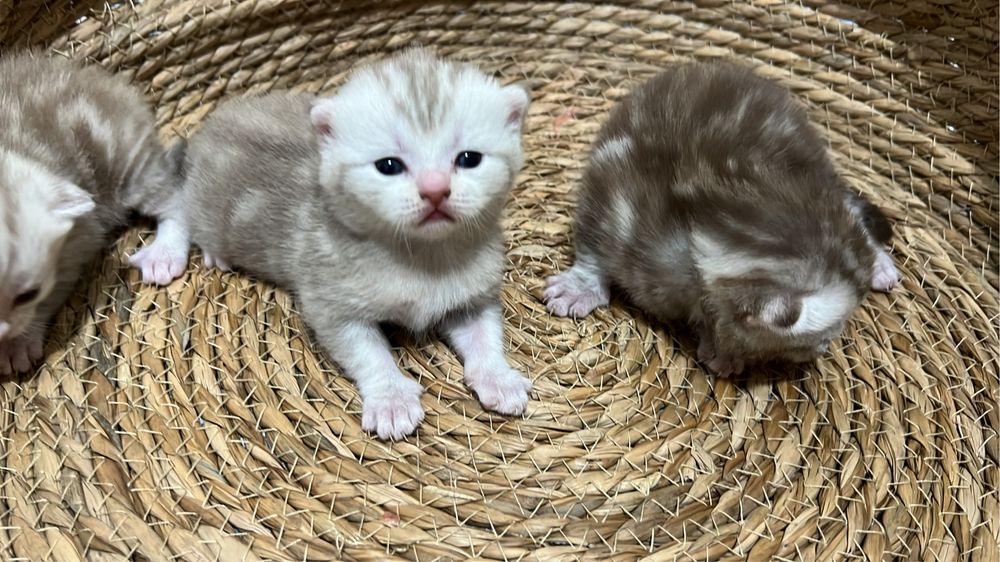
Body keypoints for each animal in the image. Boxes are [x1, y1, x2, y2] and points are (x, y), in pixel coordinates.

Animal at [0, 51, 186, 375]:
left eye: (28, 295)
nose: (2, 333)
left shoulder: (82, 233)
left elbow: (59, 283)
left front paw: (18, 342)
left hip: (128, 161)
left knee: (174, 197)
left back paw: (164, 254)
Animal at [168, 48, 532, 439]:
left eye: (469, 158)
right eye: (388, 165)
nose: (435, 189)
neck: (422, 258)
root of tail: (207, 128)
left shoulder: (474, 295)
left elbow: (485, 335)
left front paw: (498, 379)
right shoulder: (329, 299)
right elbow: (368, 353)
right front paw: (391, 400)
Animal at [544, 61, 900, 376]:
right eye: (822, 335)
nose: (824, 347)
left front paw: (723, 347)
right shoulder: (609, 187)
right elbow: (593, 247)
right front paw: (581, 285)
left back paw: (880, 264)